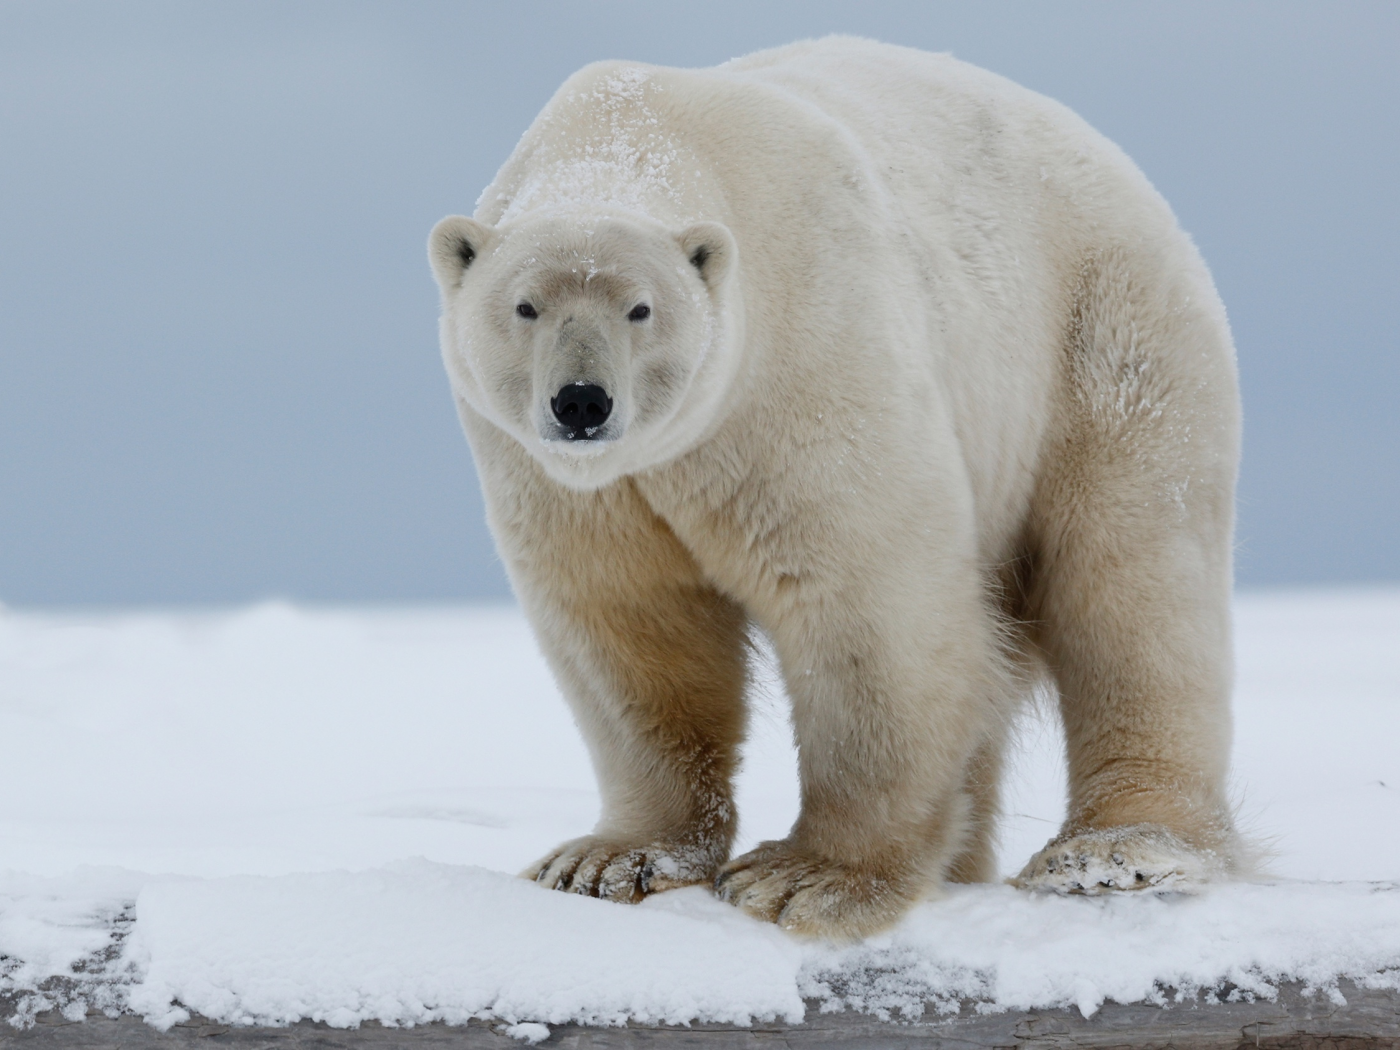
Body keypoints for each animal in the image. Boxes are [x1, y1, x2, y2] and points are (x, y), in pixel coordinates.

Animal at [425, 39, 1237, 935]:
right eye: (524, 307)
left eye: (641, 309)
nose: (581, 403)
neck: (631, 131)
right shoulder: (574, 482)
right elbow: (632, 624)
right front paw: (605, 860)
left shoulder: (804, 358)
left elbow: (866, 608)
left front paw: (805, 878)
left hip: (1102, 339)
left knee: (1131, 586)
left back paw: (1116, 852)